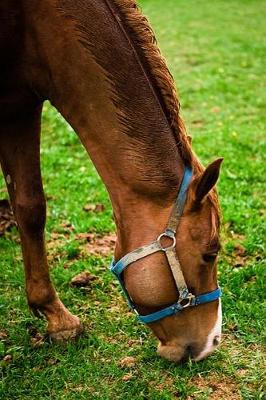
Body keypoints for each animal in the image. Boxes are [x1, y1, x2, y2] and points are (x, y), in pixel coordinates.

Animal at [0, 0, 222, 362]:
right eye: (210, 253)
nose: (212, 341)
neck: (32, 25)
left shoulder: (18, 107)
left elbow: (30, 208)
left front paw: (55, 318)